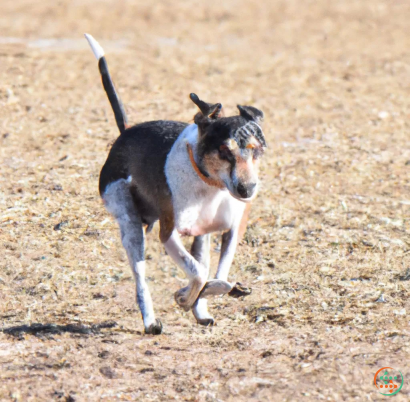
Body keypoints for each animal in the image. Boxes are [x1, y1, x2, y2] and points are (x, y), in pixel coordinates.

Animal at [85, 34, 268, 334]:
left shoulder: (231, 231)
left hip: (201, 237)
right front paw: (184, 296)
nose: (247, 189)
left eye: (257, 150)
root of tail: (125, 133)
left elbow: (218, 277)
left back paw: (201, 311)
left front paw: (202, 293)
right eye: (224, 151)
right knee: (141, 280)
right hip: (131, 227)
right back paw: (151, 321)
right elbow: (199, 273)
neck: (209, 185)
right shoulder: (168, 233)